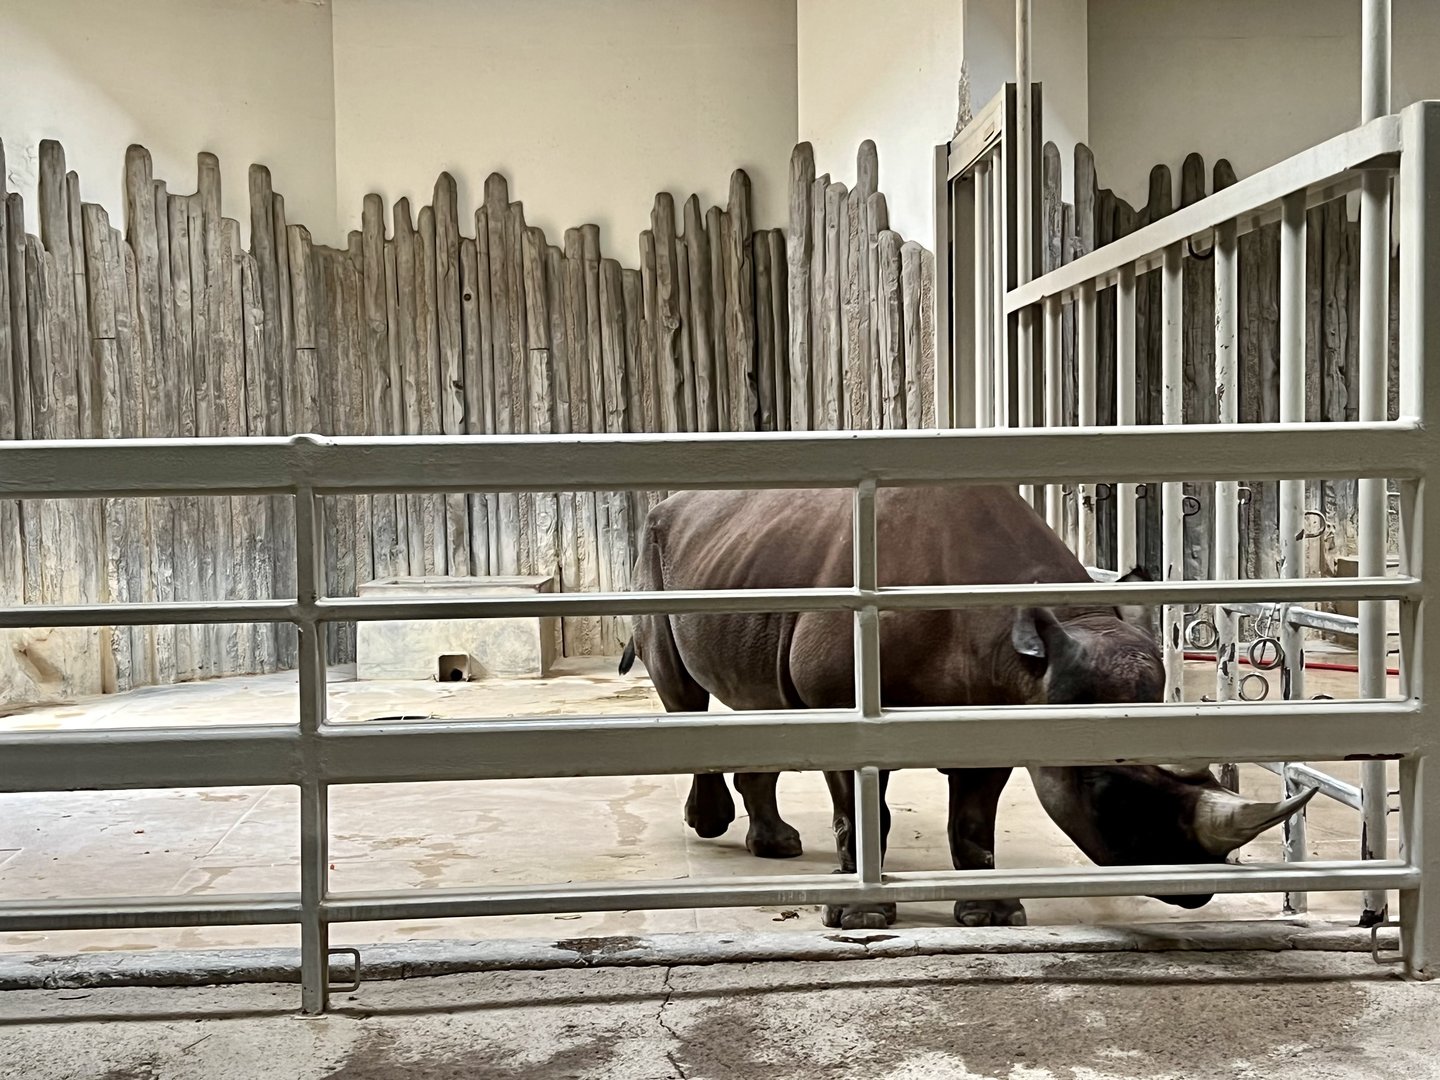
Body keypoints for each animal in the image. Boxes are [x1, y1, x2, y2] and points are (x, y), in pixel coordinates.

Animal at [620, 484, 1314, 930]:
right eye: (1108, 793)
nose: (1198, 890)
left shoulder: (1003, 708)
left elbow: (975, 816)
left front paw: (992, 915)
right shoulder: (845, 700)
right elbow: (861, 806)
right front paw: (861, 915)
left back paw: (777, 848)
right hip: (654, 555)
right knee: (683, 696)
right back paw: (712, 826)